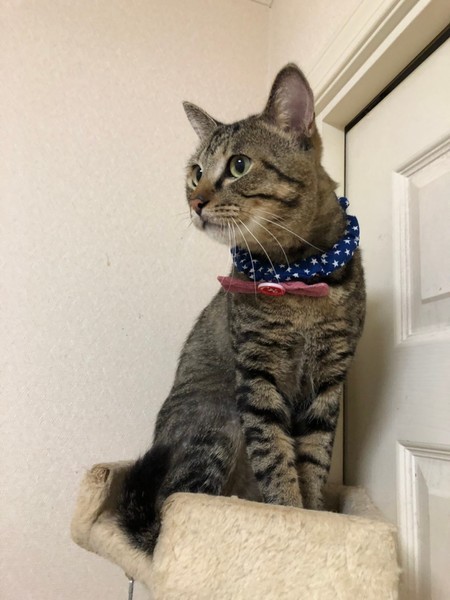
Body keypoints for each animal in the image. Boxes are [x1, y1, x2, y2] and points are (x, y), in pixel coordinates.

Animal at [117, 64, 365, 553]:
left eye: (238, 165)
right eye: (196, 172)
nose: (194, 201)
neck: (298, 276)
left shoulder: (329, 383)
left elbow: (314, 460)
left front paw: (318, 520)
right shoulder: (257, 376)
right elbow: (276, 458)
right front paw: (290, 518)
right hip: (217, 420)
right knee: (179, 507)